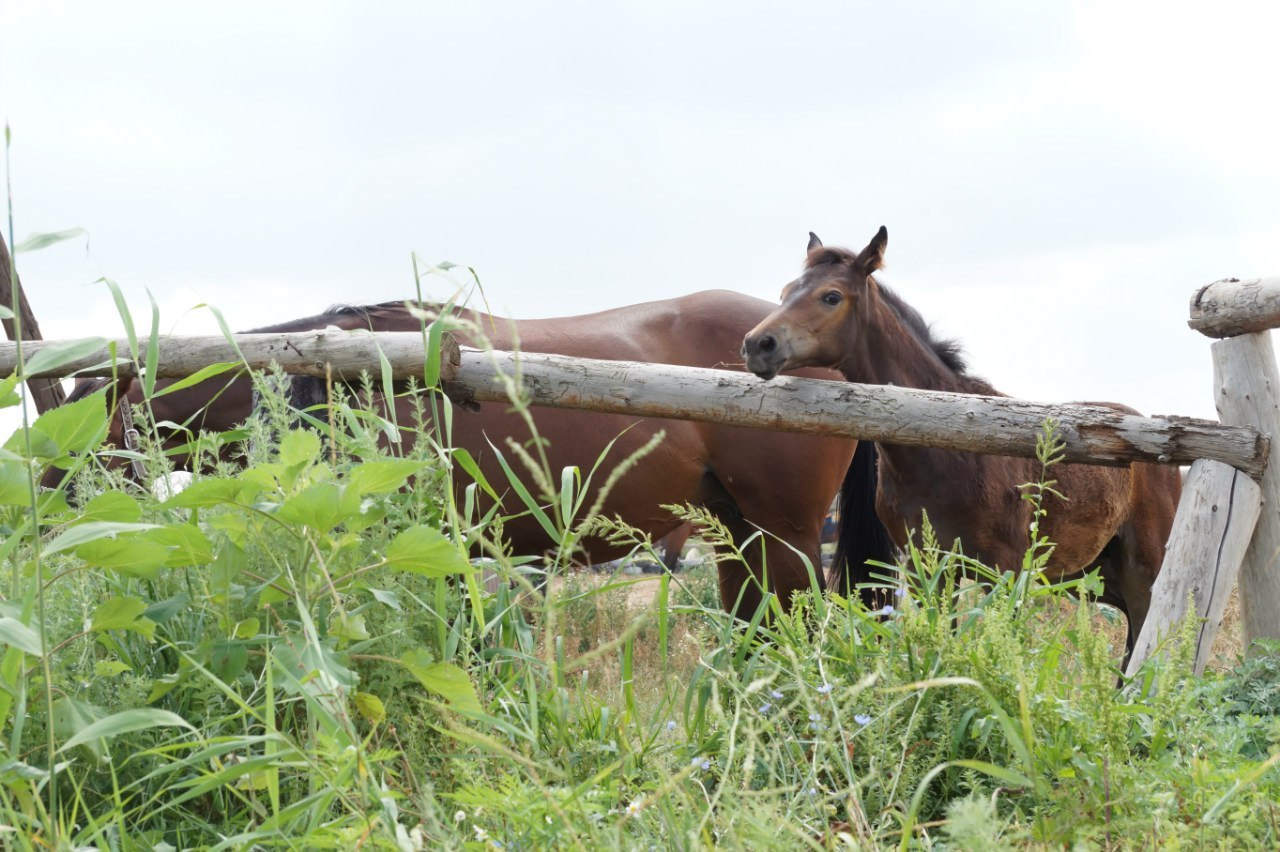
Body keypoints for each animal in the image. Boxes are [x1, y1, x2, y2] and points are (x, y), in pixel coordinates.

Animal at [742, 227, 1177, 654]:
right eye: (785, 291)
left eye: (831, 296)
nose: (757, 344)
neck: (946, 451)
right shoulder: (928, 569)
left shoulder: (1004, 573)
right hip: (1096, 574)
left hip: (1144, 570)